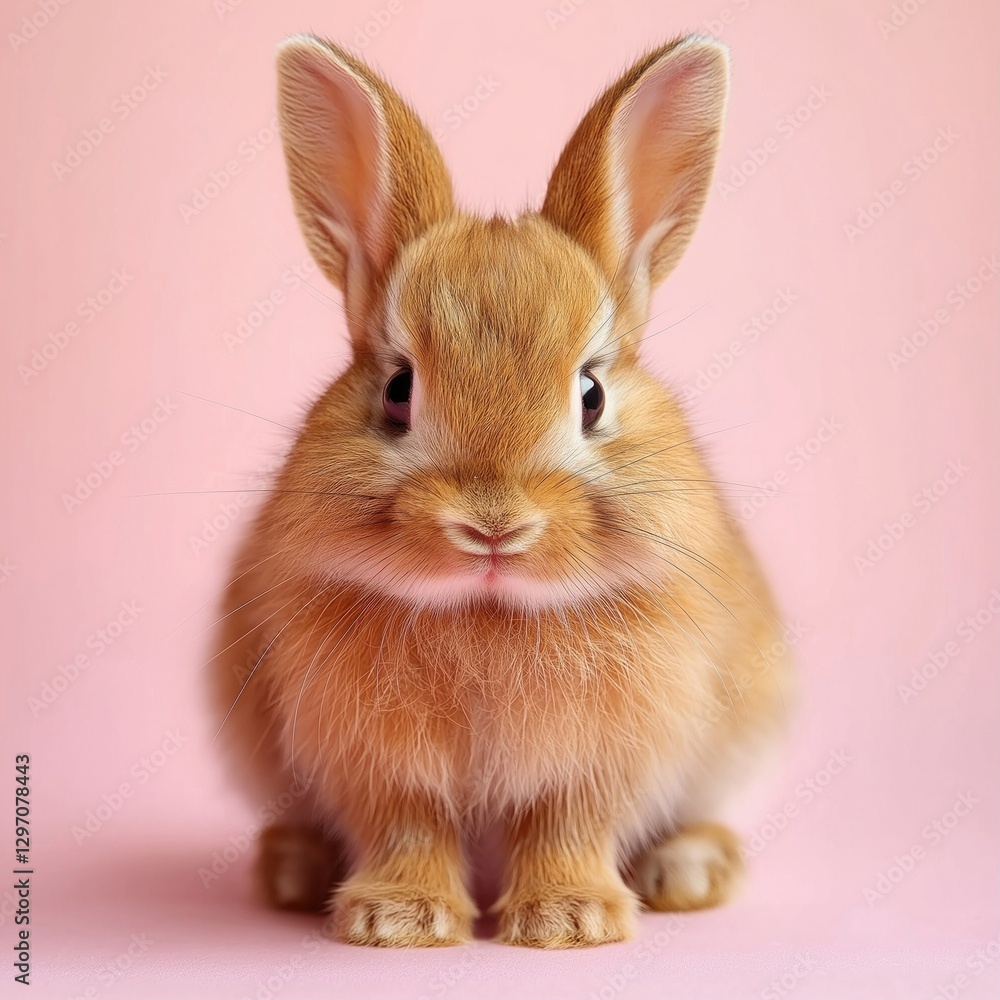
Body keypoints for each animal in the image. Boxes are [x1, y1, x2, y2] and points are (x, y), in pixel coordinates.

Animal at [208, 32, 796, 949]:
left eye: (591, 393)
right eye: (398, 390)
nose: (493, 525)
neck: (491, 612)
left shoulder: (596, 767)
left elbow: (566, 827)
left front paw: (568, 920)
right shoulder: (381, 767)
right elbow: (407, 827)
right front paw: (397, 921)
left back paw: (689, 871)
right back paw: (294, 870)